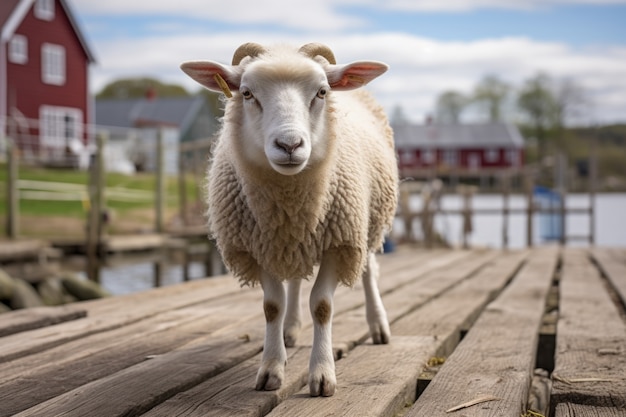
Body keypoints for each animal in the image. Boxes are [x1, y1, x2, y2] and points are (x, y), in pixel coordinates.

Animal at [179, 43, 394, 396]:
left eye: (322, 92)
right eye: (247, 93)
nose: (289, 145)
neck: (288, 207)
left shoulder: (339, 241)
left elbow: (322, 305)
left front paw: (322, 374)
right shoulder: (259, 245)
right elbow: (273, 306)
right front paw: (270, 369)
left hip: (367, 225)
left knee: (368, 270)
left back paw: (378, 326)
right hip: (296, 244)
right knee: (294, 280)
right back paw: (290, 330)